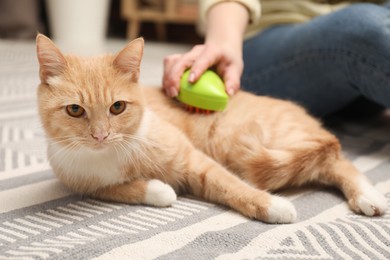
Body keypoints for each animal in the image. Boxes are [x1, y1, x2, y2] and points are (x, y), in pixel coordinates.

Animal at [34, 33, 386, 222]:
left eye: (117, 107)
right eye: (75, 110)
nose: (100, 135)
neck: (113, 153)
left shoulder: (195, 161)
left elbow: (231, 186)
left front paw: (271, 206)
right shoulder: (87, 184)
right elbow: (122, 189)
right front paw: (158, 189)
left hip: (242, 140)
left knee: (338, 160)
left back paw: (369, 195)